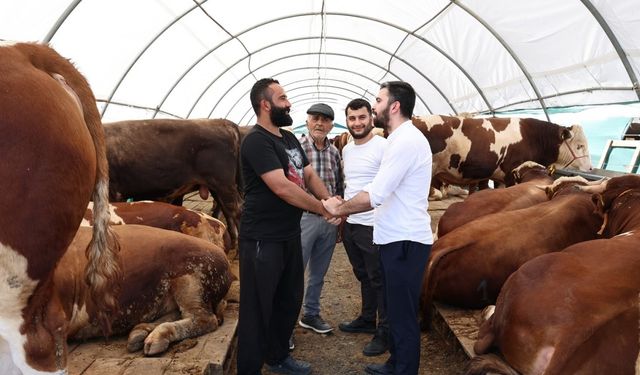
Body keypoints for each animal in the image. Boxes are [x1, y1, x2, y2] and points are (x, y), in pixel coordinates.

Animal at [102, 117, 242, 247]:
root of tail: (221, 121)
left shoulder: (112, 192)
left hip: (224, 185)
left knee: (237, 211)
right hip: (217, 188)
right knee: (228, 214)